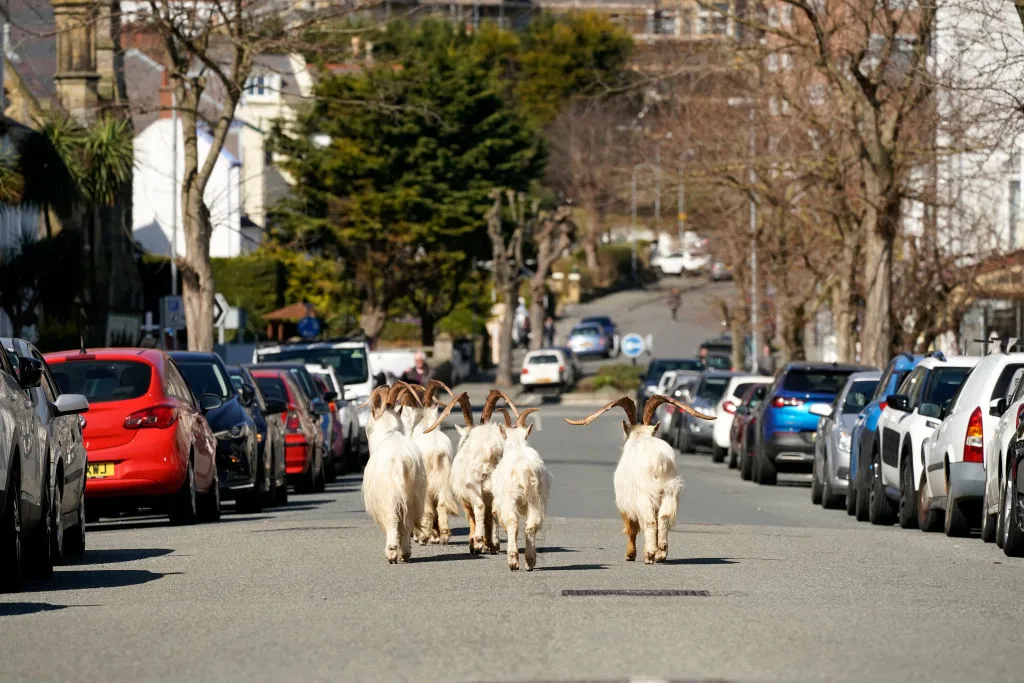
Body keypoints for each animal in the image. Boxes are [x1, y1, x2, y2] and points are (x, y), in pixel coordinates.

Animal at [362, 382, 425, 565]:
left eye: (367, 427)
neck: (389, 434)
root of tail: (403, 461)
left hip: (390, 497)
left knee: (393, 521)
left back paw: (391, 553)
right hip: (414, 495)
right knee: (407, 522)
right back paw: (405, 553)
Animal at [421, 389, 516, 557]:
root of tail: (491, 451)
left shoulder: (463, 496)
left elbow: (471, 515)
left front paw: (475, 543)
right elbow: (489, 517)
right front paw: (490, 544)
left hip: (473, 485)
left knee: (479, 507)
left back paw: (477, 540)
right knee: (494, 511)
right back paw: (494, 544)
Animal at [489, 405, 548, 573]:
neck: (517, 446)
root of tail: (523, 468)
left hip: (510, 497)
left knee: (512, 523)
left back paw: (513, 562)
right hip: (536, 497)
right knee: (531, 525)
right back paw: (530, 561)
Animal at [561, 395, 712, 565]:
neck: (640, 437)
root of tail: (658, 460)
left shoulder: (625, 503)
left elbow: (631, 528)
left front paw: (630, 554)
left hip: (645, 495)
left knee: (650, 522)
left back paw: (650, 554)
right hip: (669, 491)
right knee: (663, 518)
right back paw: (661, 552)